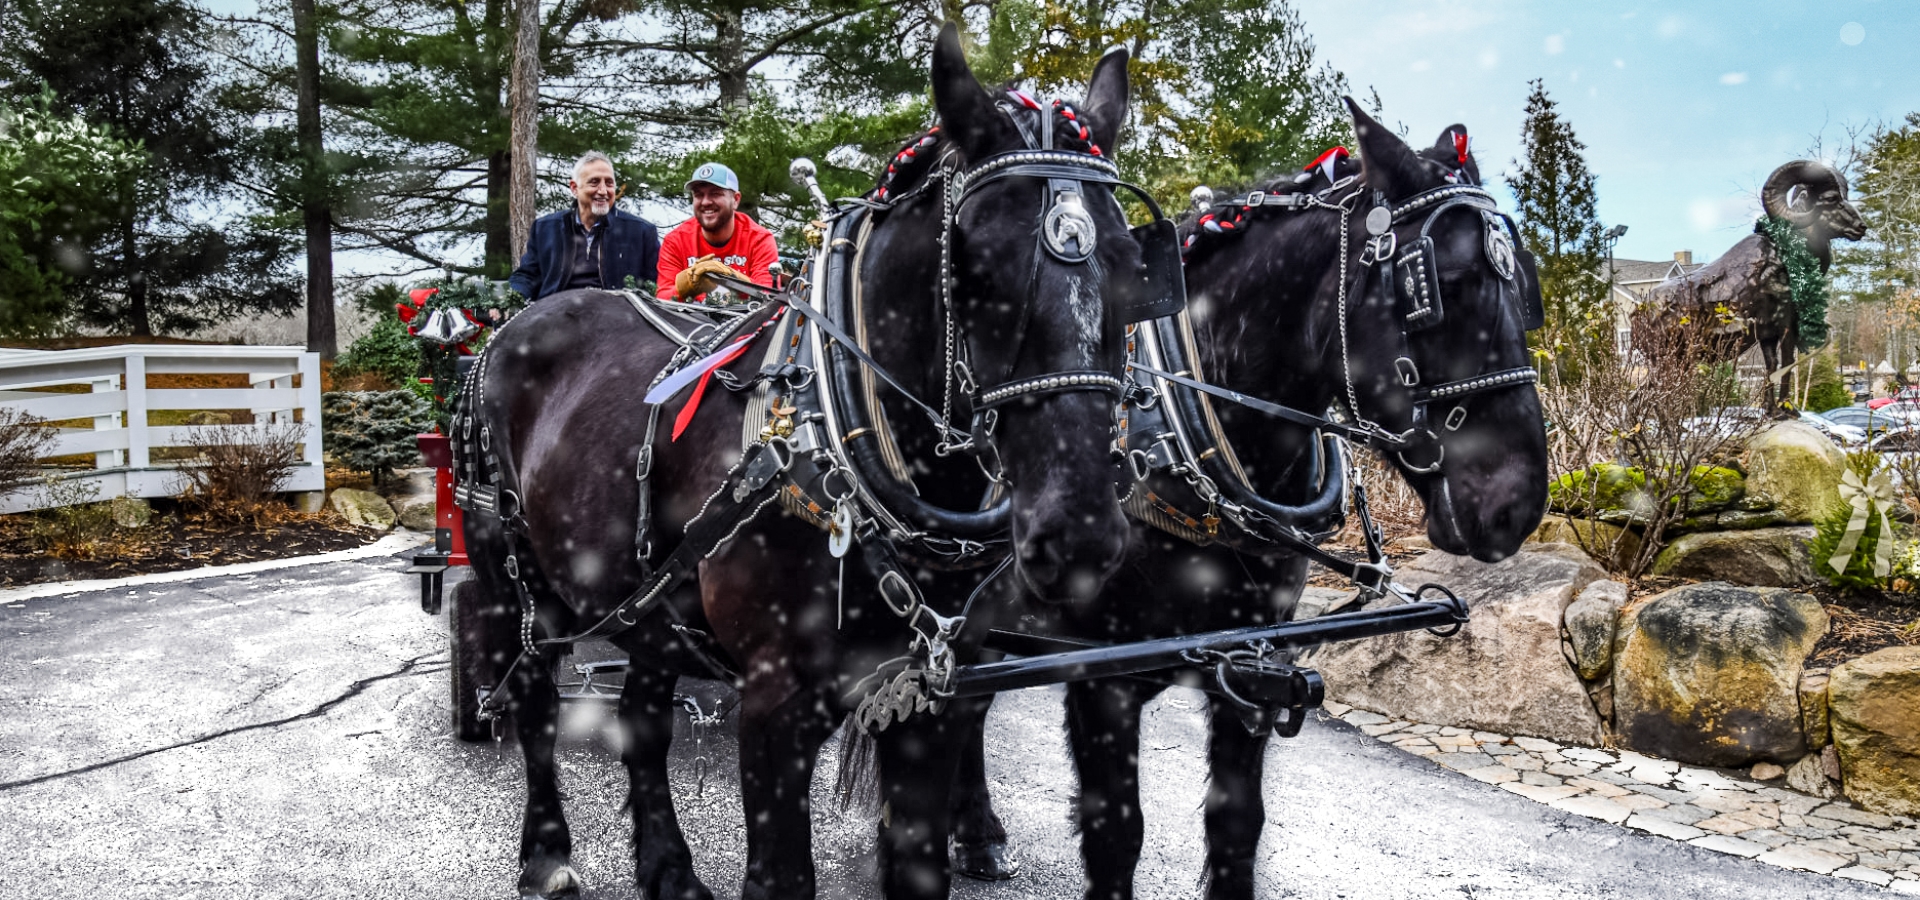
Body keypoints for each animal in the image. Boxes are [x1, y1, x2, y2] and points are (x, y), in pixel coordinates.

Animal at [456, 24, 1144, 898]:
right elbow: (782, 876)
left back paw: (667, 865)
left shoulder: (933, 696)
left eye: (1133, 267)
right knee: (537, 703)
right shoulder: (777, 705)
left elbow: (918, 861)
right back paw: (546, 853)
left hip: (642, 597)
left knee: (643, 719)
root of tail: (517, 322)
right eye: (977, 268)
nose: (1081, 533)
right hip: (517, 577)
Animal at [952, 101, 1551, 894]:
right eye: (1436, 285)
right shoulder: (1101, 682)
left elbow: (1237, 826)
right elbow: (1117, 837)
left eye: (1524, 291)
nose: (1519, 504)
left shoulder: (1255, 667)